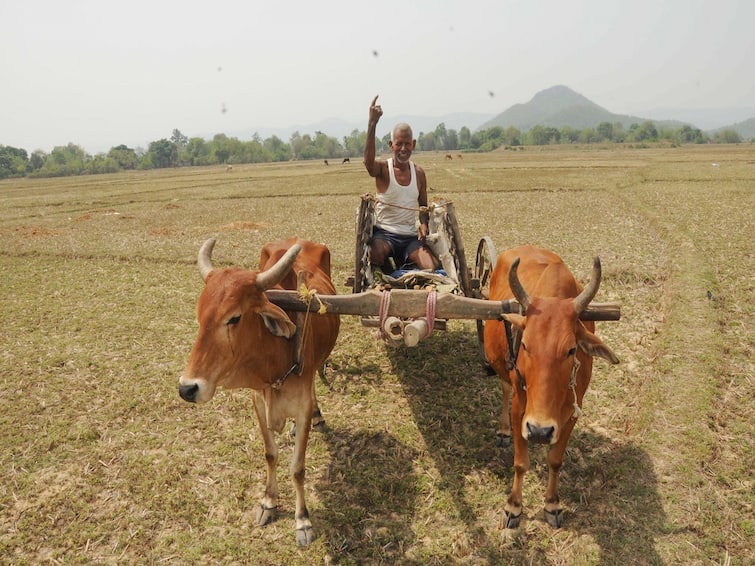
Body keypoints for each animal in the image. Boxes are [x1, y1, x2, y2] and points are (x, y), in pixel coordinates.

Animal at [180, 237, 340, 548]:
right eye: (200, 317)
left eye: (234, 318)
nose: (187, 388)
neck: (278, 354)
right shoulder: (257, 398)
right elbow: (270, 454)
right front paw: (268, 502)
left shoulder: (301, 406)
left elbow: (298, 468)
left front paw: (302, 520)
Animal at [484, 246, 620, 532]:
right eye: (525, 345)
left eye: (571, 349)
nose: (539, 431)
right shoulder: (520, 410)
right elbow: (521, 463)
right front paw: (514, 507)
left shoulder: (572, 412)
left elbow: (555, 460)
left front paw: (552, 503)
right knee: (504, 388)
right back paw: (503, 431)